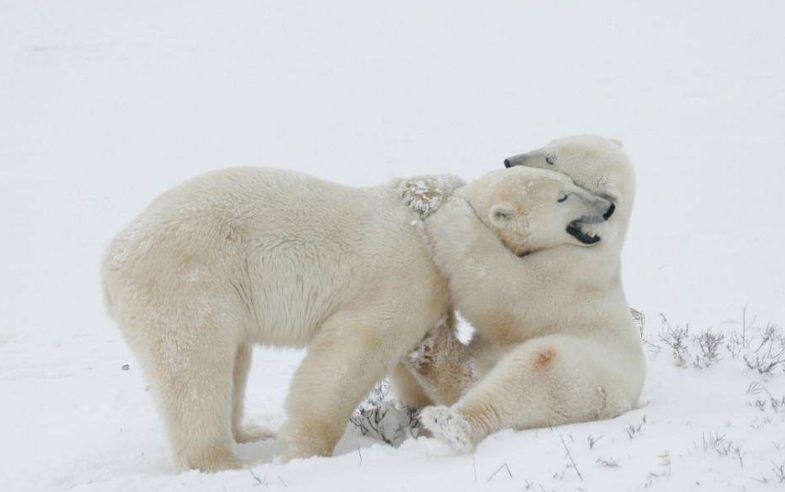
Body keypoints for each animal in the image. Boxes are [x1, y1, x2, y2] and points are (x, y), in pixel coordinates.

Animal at [404, 136, 644, 452]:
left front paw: (448, 207)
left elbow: (505, 291)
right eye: (551, 144)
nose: (508, 161)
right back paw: (429, 347)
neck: (600, 243)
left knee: (534, 370)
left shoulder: (566, 276)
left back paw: (452, 422)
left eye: (552, 158)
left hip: (587, 379)